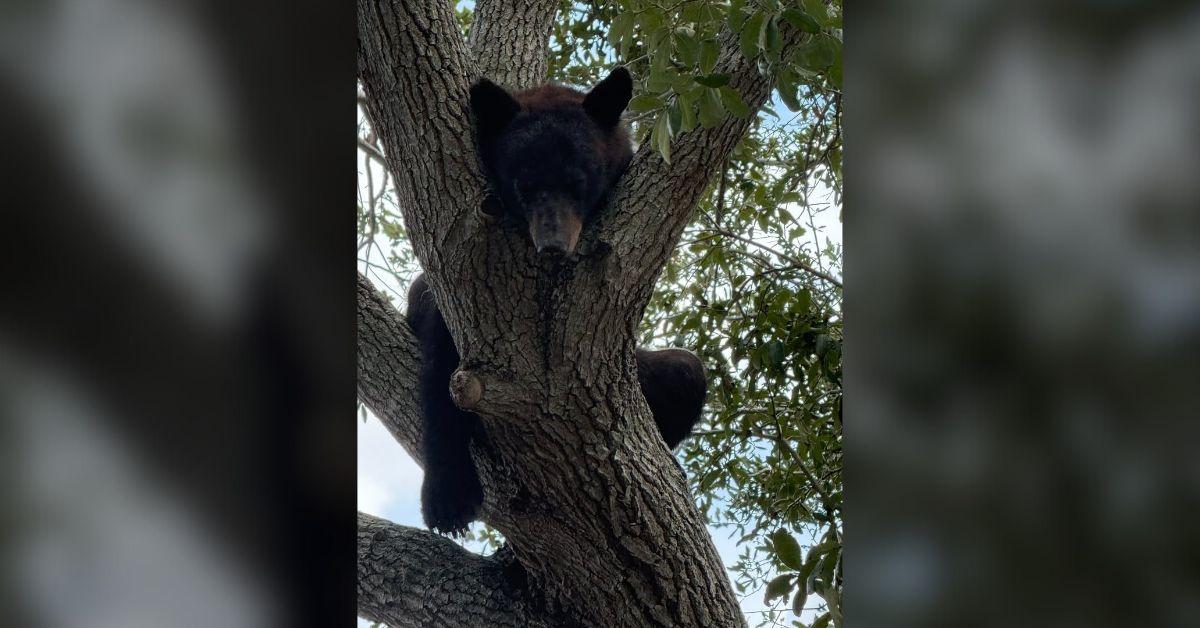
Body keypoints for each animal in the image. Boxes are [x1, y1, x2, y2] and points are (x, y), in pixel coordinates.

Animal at [405, 68, 707, 536]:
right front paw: (448, 498)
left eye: (578, 181)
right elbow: (443, 368)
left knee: (686, 371)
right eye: (523, 185)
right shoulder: (457, 284)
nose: (552, 246)